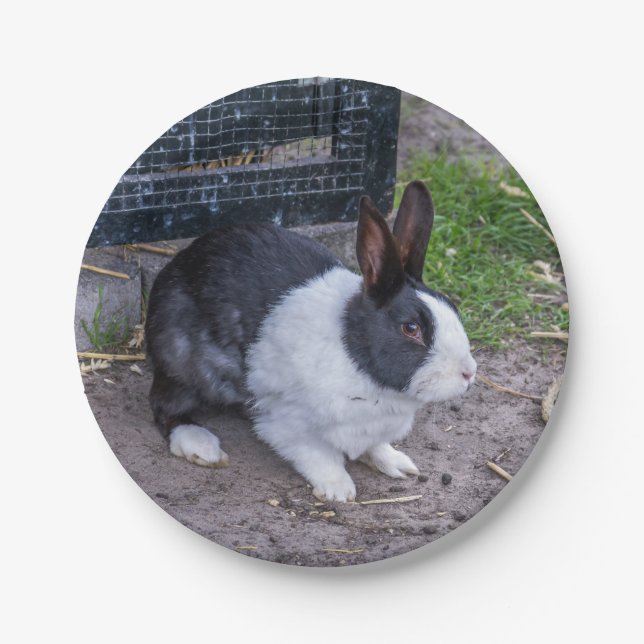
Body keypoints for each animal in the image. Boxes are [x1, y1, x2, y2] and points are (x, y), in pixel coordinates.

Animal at [145, 181, 477, 502]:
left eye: (452, 307)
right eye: (410, 328)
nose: (469, 373)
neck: (356, 357)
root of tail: (178, 264)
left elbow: (374, 446)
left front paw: (397, 463)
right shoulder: (287, 421)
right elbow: (318, 455)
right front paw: (338, 490)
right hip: (180, 359)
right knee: (165, 407)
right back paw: (201, 445)